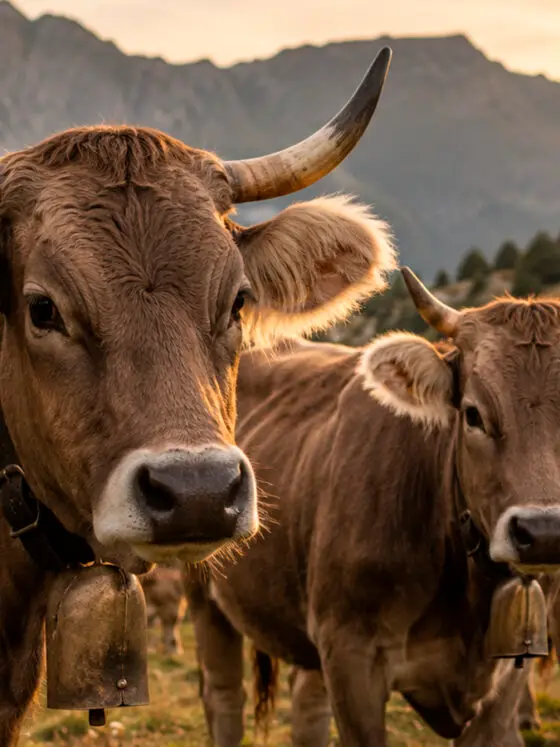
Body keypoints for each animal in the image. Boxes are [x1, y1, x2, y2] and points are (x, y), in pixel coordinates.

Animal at [187, 269, 560, 747]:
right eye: (473, 414)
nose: (544, 532)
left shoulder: (507, 681)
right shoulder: (351, 653)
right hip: (205, 598)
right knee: (224, 700)